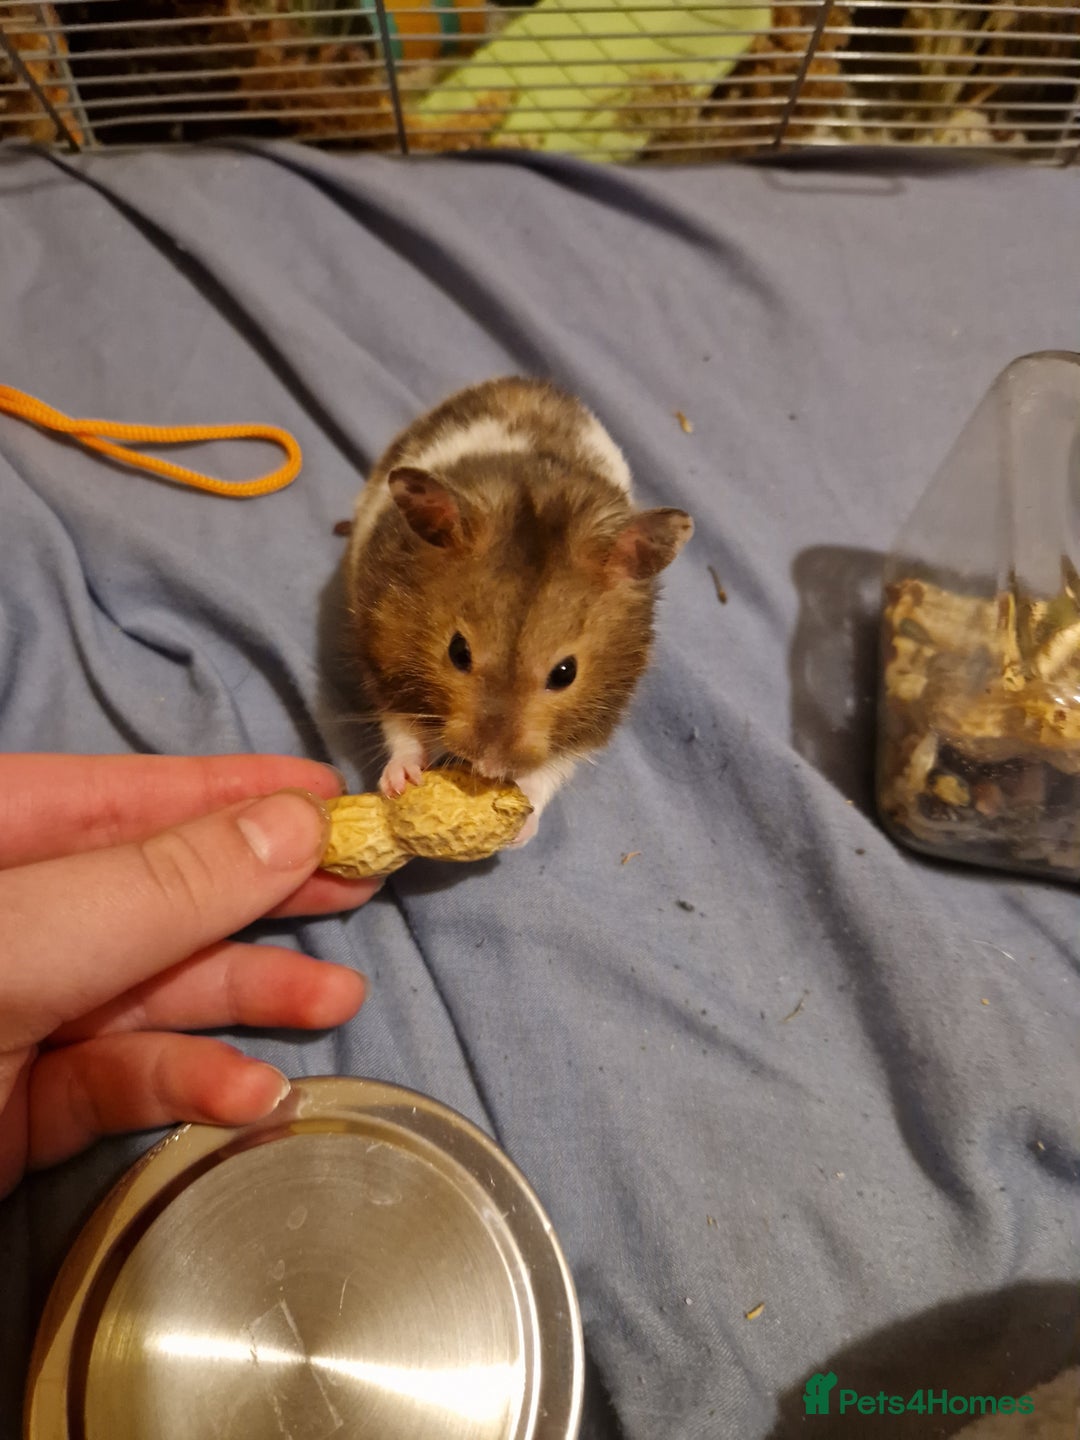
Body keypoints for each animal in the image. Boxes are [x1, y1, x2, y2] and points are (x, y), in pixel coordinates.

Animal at [344, 377, 693, 846]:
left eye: (565, 674)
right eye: (457, 653)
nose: (489, 766)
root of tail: (525, 380)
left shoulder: (596, 720)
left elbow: (547, 773)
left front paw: (520, 831)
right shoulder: (384, 657)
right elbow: (401, 728)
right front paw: (402, 783)